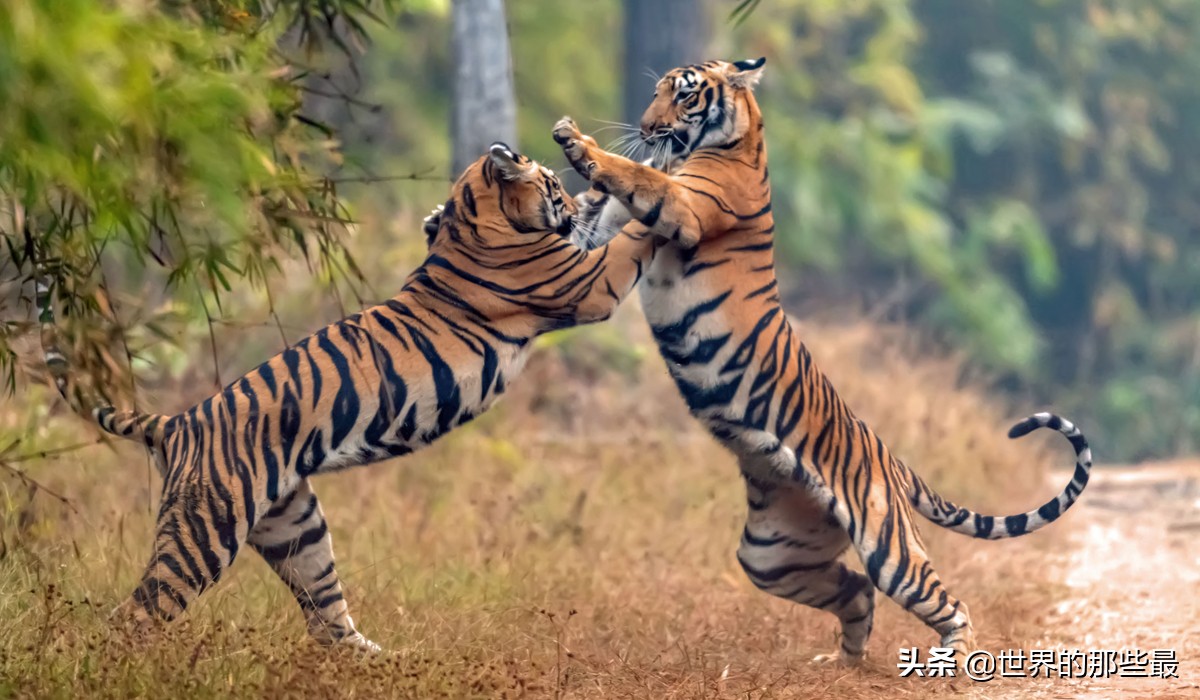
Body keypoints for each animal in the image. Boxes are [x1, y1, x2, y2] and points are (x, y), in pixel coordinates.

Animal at [36, 143, 656, 651]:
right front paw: (657, 189)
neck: (473, 218)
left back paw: (390, 663)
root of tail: (177, 422)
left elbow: (610, 220)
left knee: (327, 621)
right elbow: (630, 236)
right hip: (204, 531)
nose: (567, 201)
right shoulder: (588, 284)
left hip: (296, 525)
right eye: (550, 184)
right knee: (138, 613)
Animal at [552, 58, 1094, 664]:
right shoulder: (605, 227)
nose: (647, 128)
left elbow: (637, 177)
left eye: (685, 97)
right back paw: (845, 663)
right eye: (656, 93)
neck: (736, 142)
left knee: (945, 602)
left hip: (888, 546)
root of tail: (894, 462)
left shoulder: (684, 207)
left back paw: (948, 663)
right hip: (771, 553)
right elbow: (595, 209)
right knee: (855, 590)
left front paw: (579, 144)